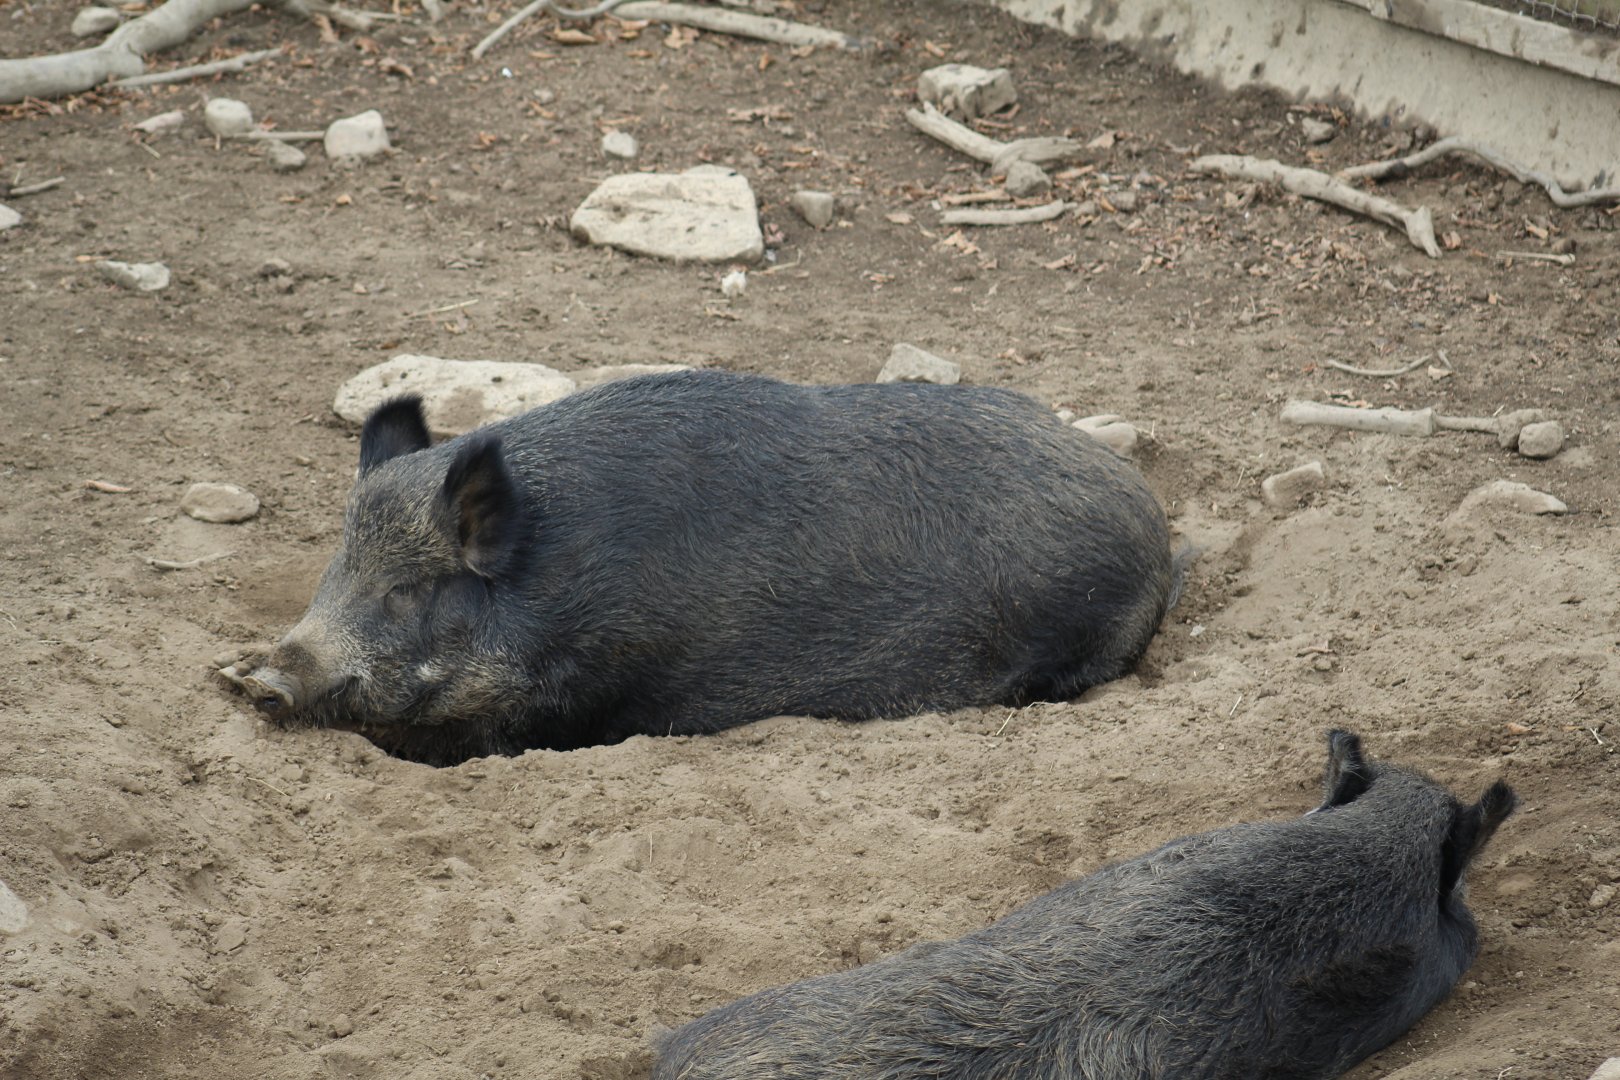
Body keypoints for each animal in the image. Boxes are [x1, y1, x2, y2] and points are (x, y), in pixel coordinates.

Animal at [236, 370, 1183, 765]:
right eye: (334, 567)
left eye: (407, 590)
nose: (265, 680)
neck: (556, 578)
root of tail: (1154, 523)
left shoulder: (586, 693)